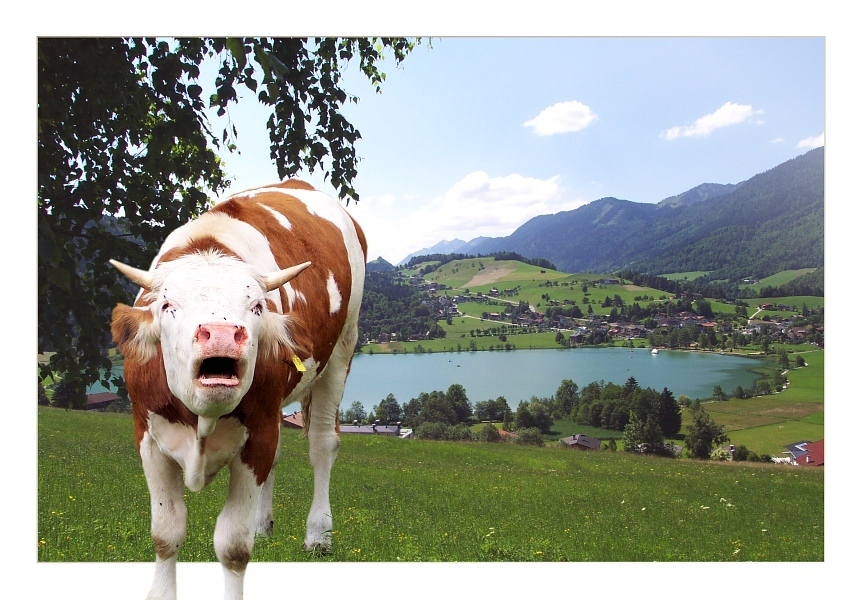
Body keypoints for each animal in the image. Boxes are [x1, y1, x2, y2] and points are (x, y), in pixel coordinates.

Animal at [109, 179, 366, 600]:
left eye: (257, 306)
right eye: (167, 305)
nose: (222, 333)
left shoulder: (257, 435)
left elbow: (232, 546)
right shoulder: (147, 436)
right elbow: (165, 534)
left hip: (342, 350)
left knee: (322, 445)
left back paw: (318, 534)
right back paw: (263, 525)